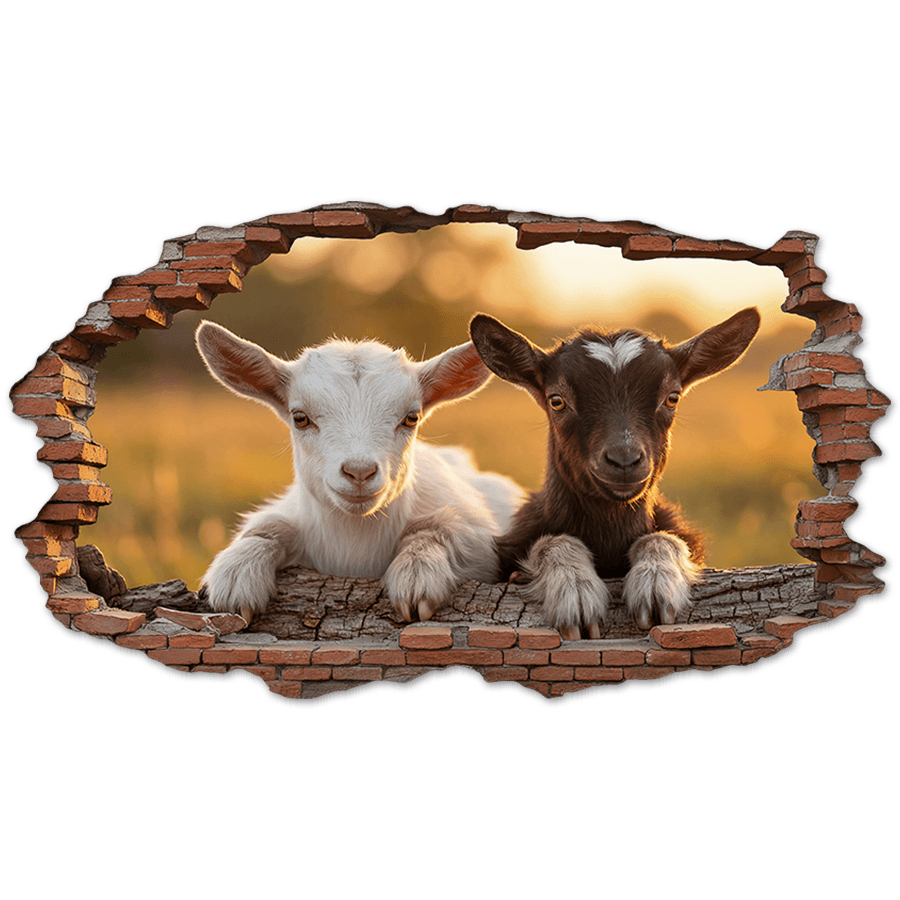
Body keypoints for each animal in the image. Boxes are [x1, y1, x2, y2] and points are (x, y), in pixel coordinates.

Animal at [194, 322, 524, 624]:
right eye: (300, 417)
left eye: (411, 417)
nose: (359, 472)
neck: (355, 545)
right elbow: (266, 528)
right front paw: (236, 576)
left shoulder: (477, 535)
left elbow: (440, 529)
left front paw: (417, 574)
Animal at [469, 307, 761, 639]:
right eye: (557, 401)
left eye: (672, 398)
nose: (624, 460)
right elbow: (552, 542)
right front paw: (575, 593)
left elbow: (663, 538)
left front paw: (655, 586)